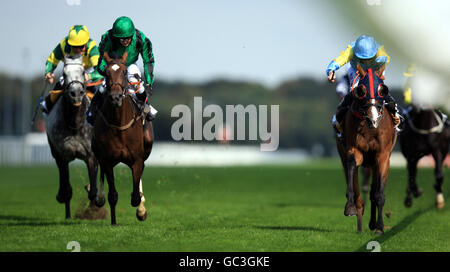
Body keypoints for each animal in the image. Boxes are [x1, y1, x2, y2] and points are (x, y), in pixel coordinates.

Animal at [45, 55, 102, 219]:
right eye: (64, 73)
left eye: (83, 71)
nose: (76, 93)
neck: (75, 124)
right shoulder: (62, 156)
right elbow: (66, 188)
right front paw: (63, 201)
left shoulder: (91, 156)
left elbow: (93, 191)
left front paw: (95, 198)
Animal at [91, 51, 155, 225]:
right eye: (106, 73)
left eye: (125, 72)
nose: (116, 97)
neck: (119, 124)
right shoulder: (107, 160)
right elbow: (112, 195)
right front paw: (113, 221)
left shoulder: (137, 159)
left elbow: (135, 196)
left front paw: (141, 210)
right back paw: (99, 197)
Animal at [336, 66, 396, 234]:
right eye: (361, 90)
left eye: (382, 90)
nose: (373, 118)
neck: (370, 129)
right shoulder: (354, 149)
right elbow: (352, 166)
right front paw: (350, 207)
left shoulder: (382, 156)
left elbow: (378, 194)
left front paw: (380, 227)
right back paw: (359, 218)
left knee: (373, 191)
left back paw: (373, 223)